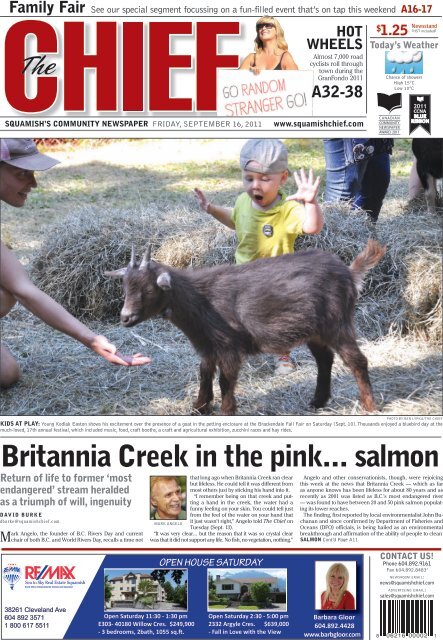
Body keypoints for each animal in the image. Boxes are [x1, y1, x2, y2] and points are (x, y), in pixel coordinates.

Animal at [106, 240, 386, 416]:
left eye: (149, 289)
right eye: (125, 287)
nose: (125, 318)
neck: (200, 299)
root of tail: (349, 273)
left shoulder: (229, 346)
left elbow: (225, 379)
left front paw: (226, 411)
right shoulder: (208, 346)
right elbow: (204, 374)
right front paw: (199, 407)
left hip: (337, 323)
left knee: (357, 360)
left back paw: (369, 405)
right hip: (316, 331)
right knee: (325, 359)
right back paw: (318, 401)